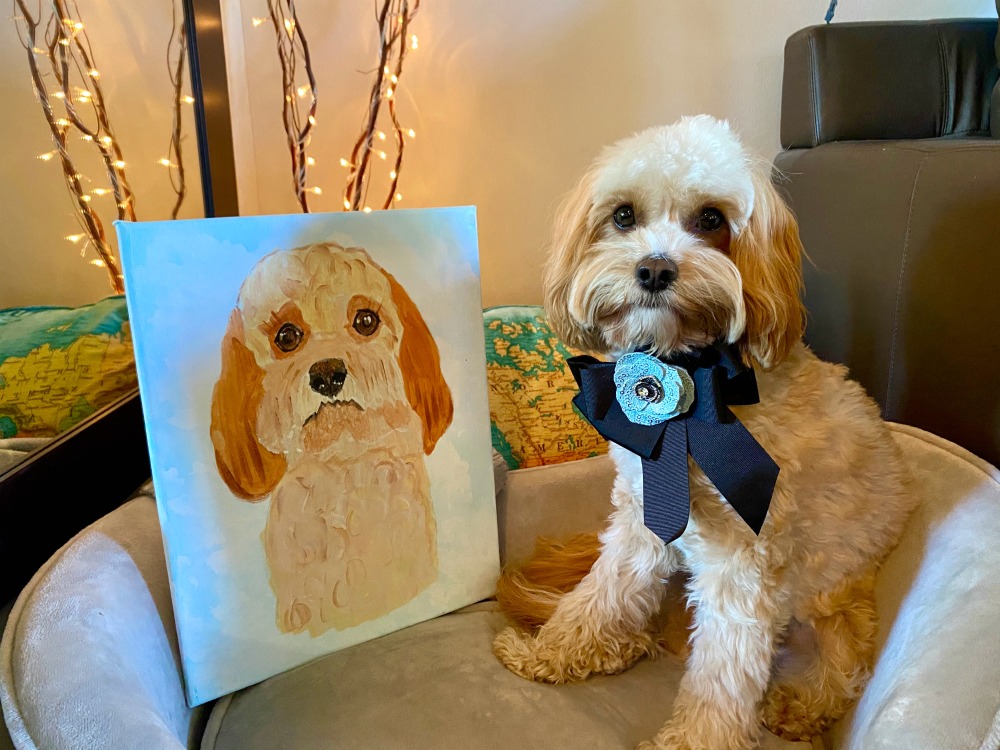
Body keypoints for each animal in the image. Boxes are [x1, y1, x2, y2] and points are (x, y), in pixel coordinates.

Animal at [494, 117, 920, 750]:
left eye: (712, 220)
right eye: (624, 216)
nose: (654, 269)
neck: (693, 381)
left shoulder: (743, 565)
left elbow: (723, 670)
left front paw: (695, 740)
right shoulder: (639, 523)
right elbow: (601, 595)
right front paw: (552, 653)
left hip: (834, 606)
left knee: (842, 663)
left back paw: (801, 703)